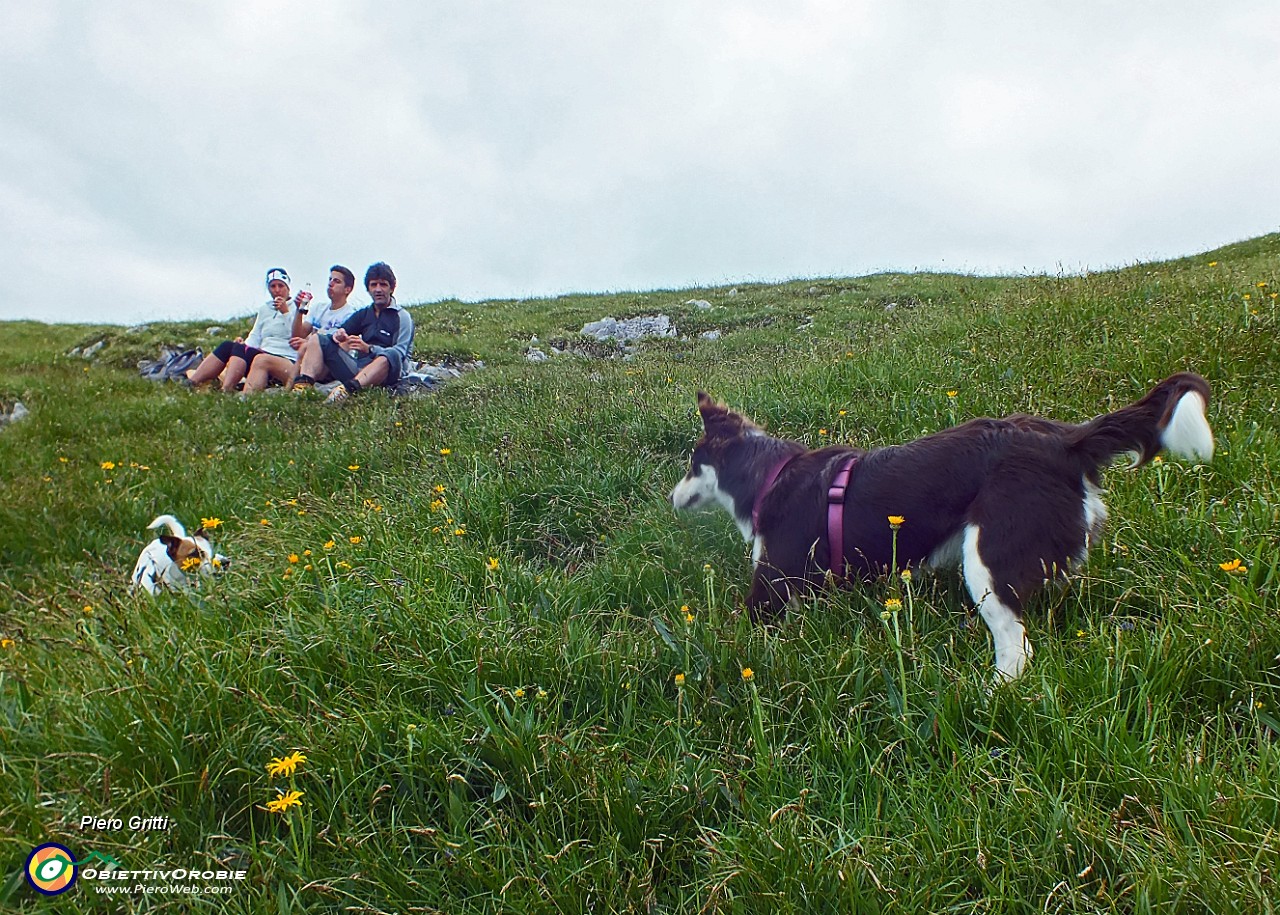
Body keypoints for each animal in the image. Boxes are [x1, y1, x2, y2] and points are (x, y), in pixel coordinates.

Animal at [675, 371, 1213, 680]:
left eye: (692, 465)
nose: (670, 498)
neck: (769, 476)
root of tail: (1067, 440)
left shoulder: (773, 586)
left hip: (989, 557)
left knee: (1016, 648)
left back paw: (990, 697)